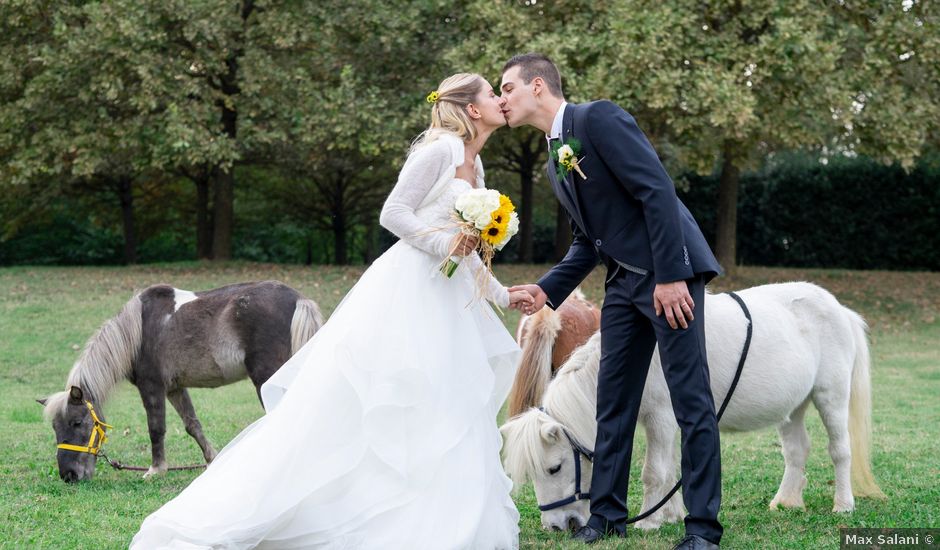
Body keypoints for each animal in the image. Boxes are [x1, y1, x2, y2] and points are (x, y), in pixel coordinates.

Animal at [37, 282, 324, 486]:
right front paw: (212, 462)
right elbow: (192, 425)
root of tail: (299, 299)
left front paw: (156, 470)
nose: (69, 475)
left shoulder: (152, 387)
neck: (139, 331)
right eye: (54, 427)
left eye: (77, 423)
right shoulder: (175, 388)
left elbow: (156, 429)